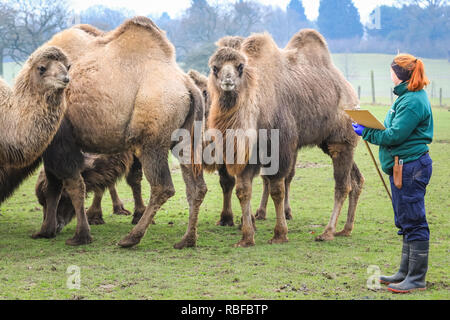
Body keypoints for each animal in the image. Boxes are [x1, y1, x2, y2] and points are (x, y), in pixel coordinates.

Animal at [33, 16, 206, 249]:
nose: (60, 223)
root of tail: (189, 87)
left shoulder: (58, 141)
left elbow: (62, 184)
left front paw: (64, 233)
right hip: (185, 141)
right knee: (197, 187)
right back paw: (187, 239)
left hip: (152, 142)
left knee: (163, 187)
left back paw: (131, 238)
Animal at [207, 30, 362, 246]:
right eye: (215, 68)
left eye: (240, 66)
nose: (227, 81)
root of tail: (351, 92)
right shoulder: (249, 152)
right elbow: (243, 189)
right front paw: (246, 237)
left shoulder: (281, 146)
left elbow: (277, 189)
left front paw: (280, 234)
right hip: (329, 142)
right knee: (356, 180)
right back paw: (345, 229)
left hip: (341, 140)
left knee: (342, 185)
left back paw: (327, 232)